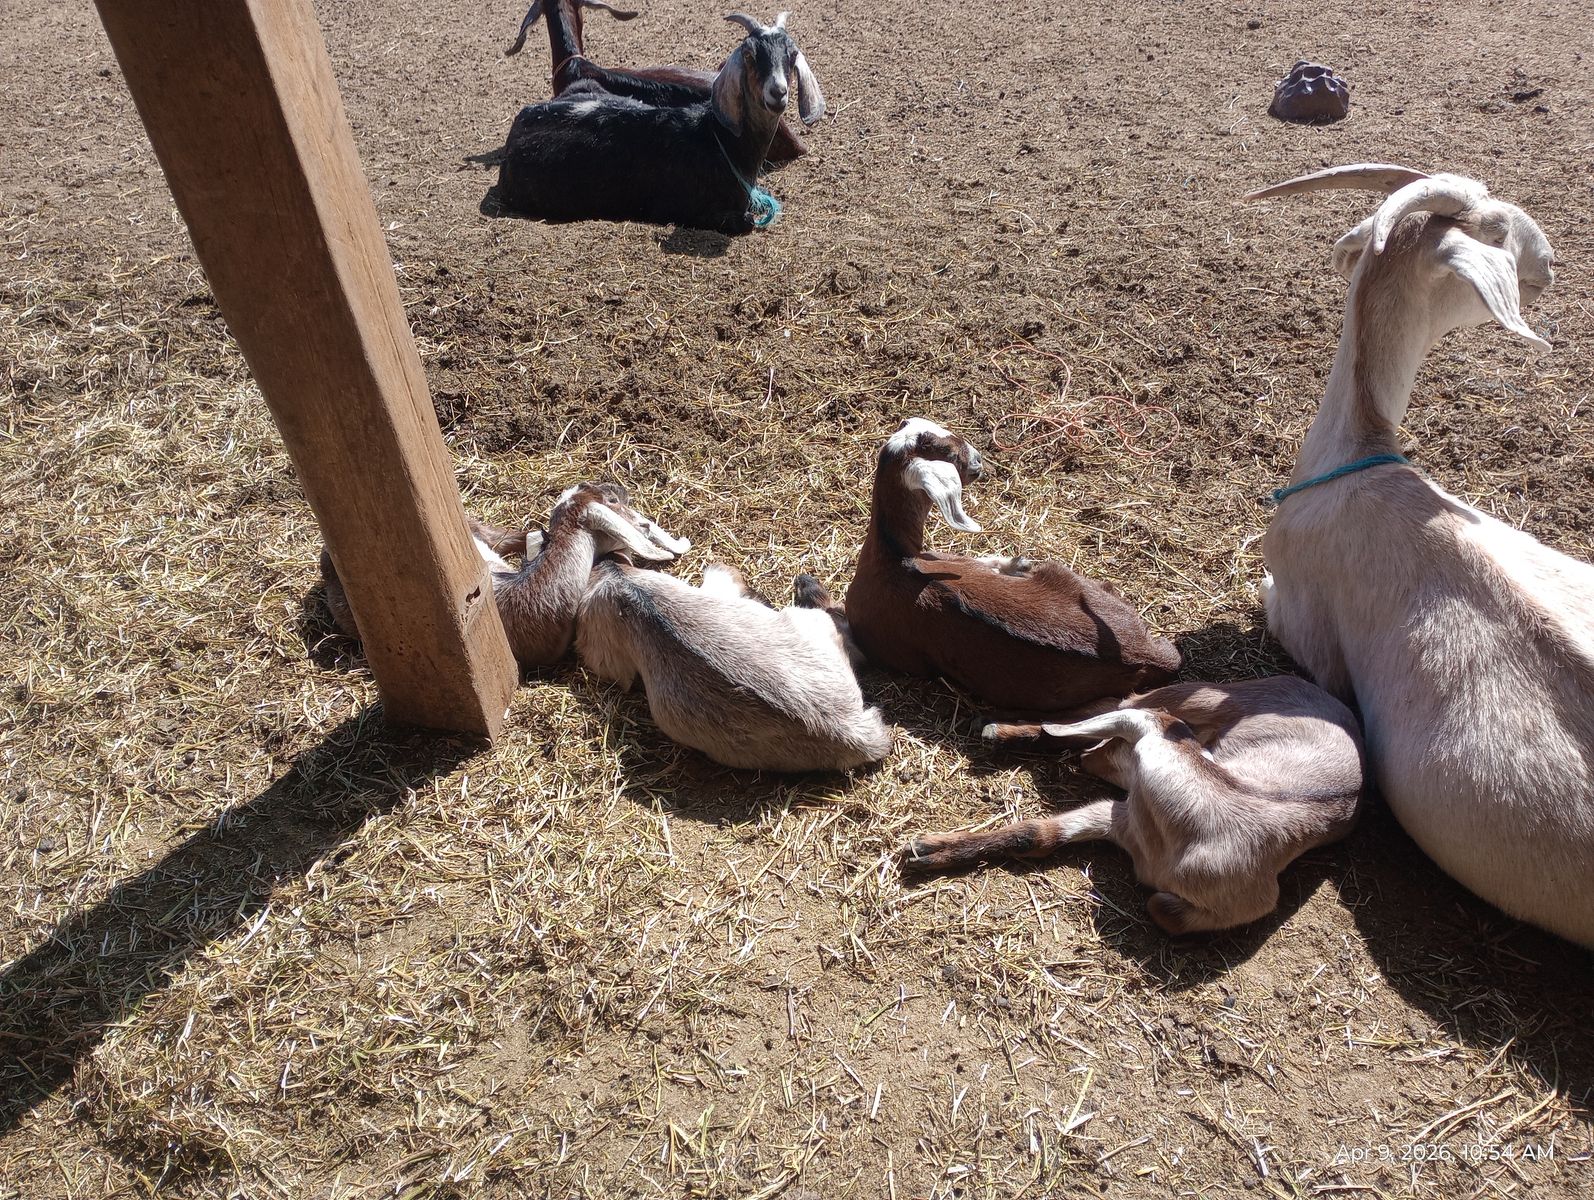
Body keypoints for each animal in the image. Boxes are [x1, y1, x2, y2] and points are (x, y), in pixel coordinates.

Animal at [841, 418, 1181, 711]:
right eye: (949, 452)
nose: (978, 461)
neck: (892, 557)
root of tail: (1146, 653)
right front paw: (1016, 564)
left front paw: (1014, 564)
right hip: (1068, 576)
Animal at [904, 677, 1366, 934]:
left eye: (1121, 747)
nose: (1089, 759)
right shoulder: (1123, 814)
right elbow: (1034, 833)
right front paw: (928, 850)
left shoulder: (1124, 822)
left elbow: (1159, 906)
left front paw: (927, 851)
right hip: (1199, 697)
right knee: (1121, 701)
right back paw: (997, 724)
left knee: (1115, 706)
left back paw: (1000, 726)